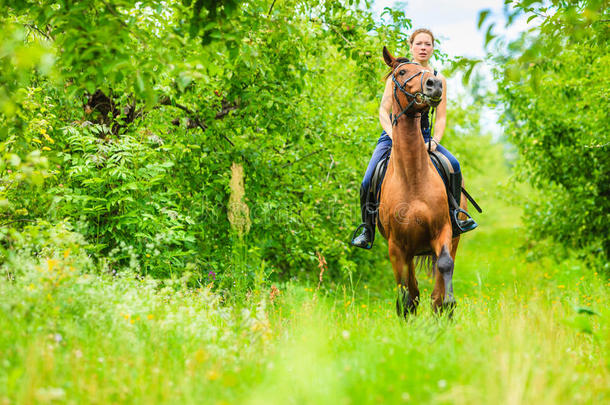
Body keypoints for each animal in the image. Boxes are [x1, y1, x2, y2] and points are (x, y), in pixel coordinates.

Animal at [378, 46, 468, 312]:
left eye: (429, 72)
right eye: (402, 72)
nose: (434, 84)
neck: (413, 179)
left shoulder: (443, 231)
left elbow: (444, 267)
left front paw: (448, 303)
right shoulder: (397, 248)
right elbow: (406, 293)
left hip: (455, 237)